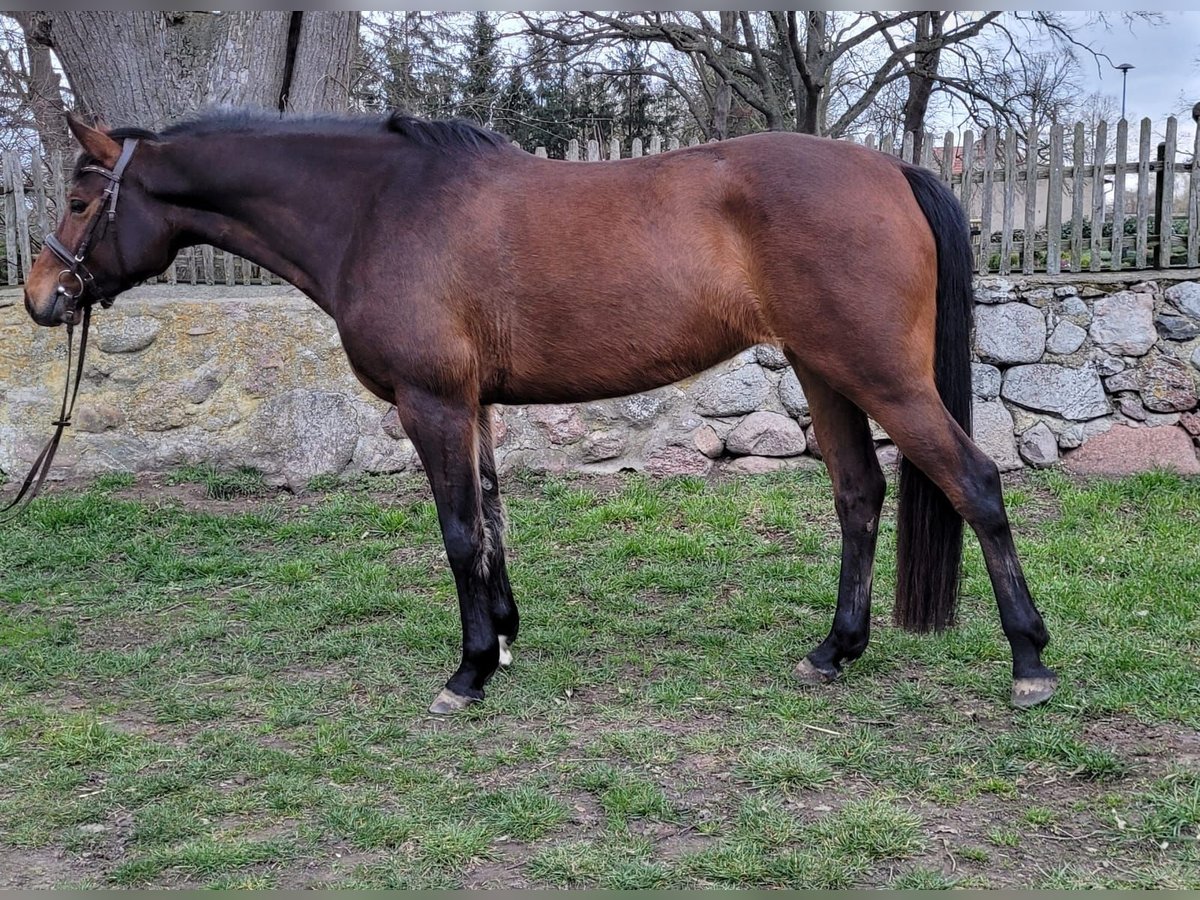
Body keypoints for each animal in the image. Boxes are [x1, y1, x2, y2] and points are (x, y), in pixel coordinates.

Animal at [21, 112, 1060, 715]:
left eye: (77, 198)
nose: (41, 298)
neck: (378, 208)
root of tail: (890, 169)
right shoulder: (471, 405)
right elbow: (489, 519)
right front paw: (507, 636)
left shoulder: (432, 403)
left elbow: (455, 530)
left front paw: (470, 670)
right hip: (824, 371)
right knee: (858, 495)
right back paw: (834, 652)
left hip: (882, 375)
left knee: (974, 483)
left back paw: (1030, 663)